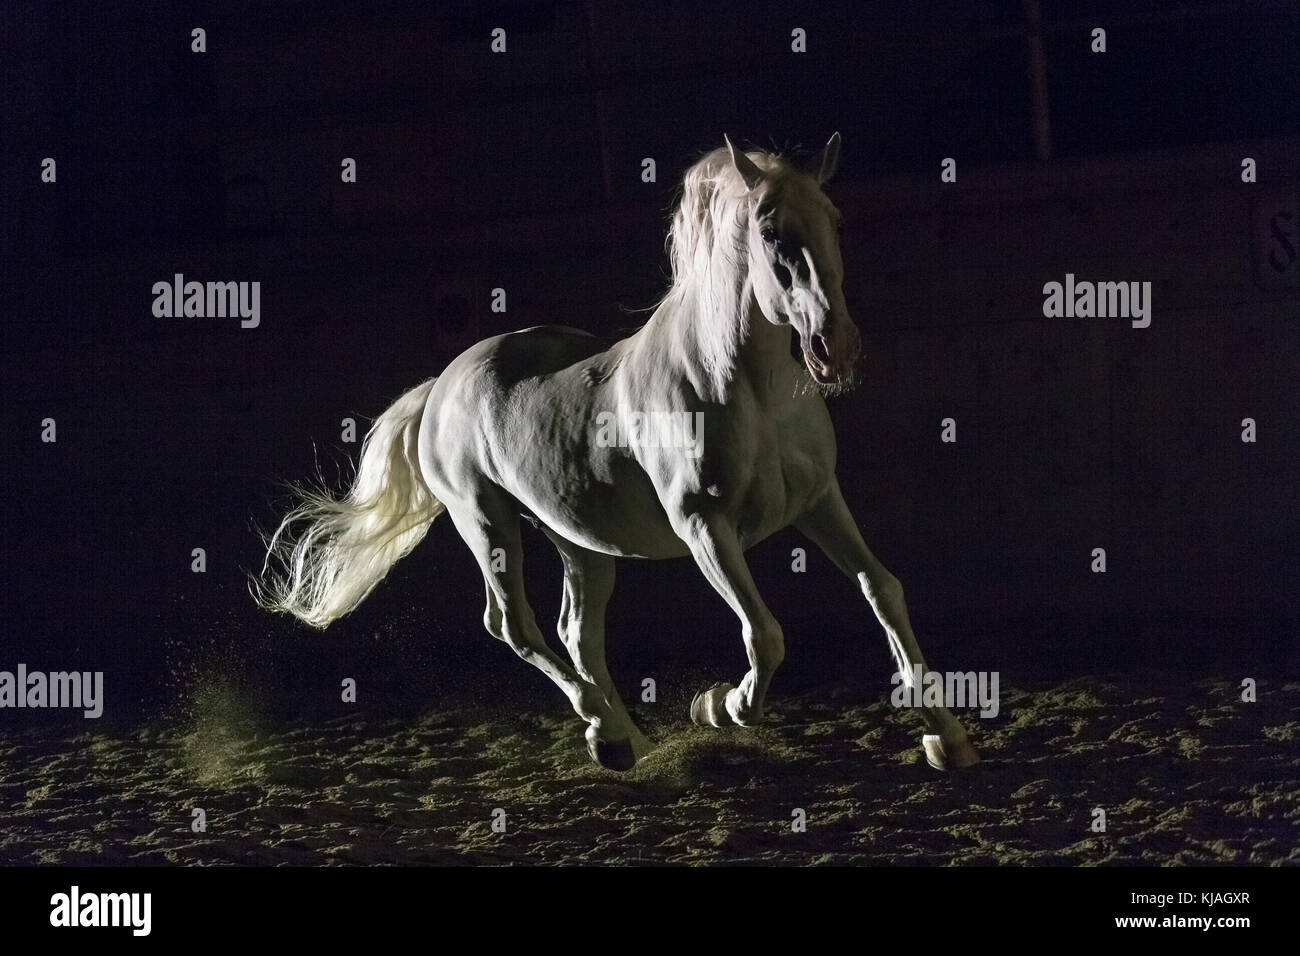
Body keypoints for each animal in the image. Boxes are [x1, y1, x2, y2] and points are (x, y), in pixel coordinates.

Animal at [253, 134, 977, 775]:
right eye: (771, 232)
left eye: (834, 220)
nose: (837, 348)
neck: (747, 387)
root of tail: (442, 386)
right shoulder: (705, 527)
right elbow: (763, 635)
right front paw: (720, 706)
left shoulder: (819, 501)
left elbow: (882, 590)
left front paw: (946, 739)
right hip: (486, 522)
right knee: (514, 625)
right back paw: (607, 733)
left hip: (579, 542)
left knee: (577, 632)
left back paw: (626, 739)